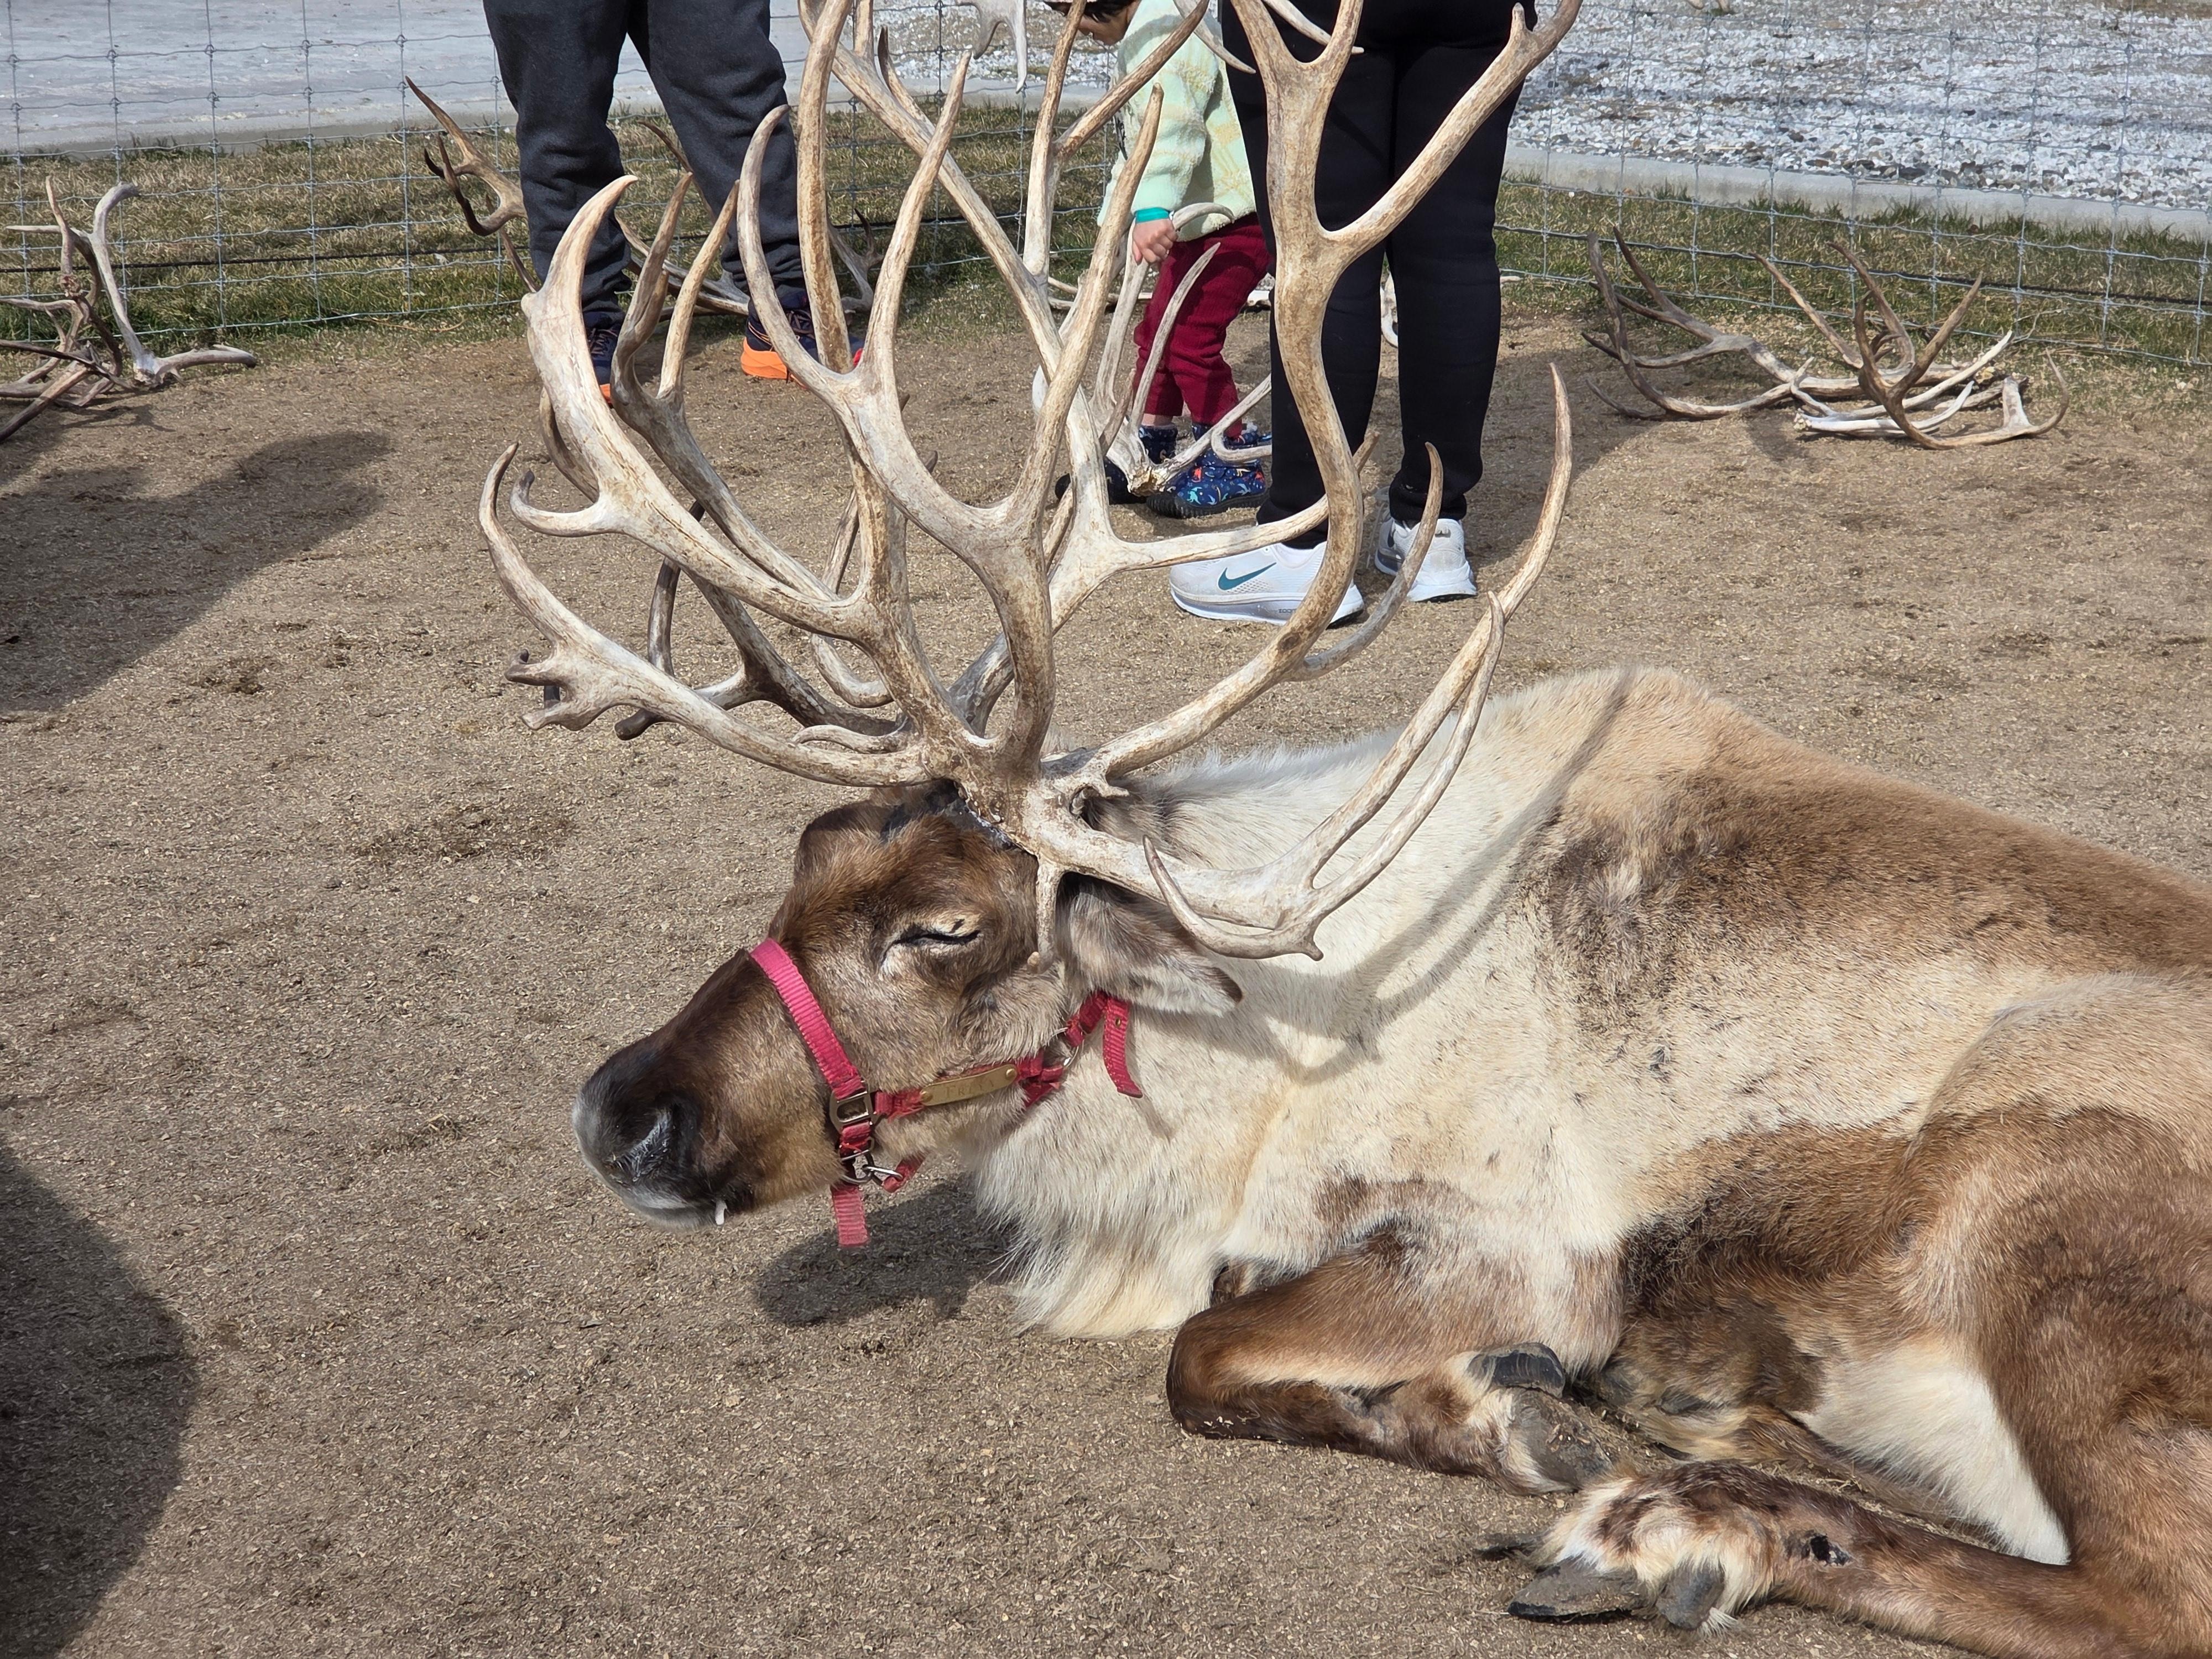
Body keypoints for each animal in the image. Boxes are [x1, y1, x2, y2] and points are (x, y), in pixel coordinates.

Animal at [475, 0, 2212, 1649]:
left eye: (942, 927)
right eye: (814, 854)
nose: (617, 1113)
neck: (1250, 1042)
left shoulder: (1503, 1245)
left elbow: (1201, 1352)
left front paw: (1515, 1421)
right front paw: (1522, 1412)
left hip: (2047, 1199)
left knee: (2139, 1593)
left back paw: (1677, 1526)